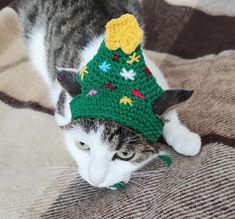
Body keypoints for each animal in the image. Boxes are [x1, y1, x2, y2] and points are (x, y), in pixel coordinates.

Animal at [16, 0, 201, 188]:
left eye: (125, 154)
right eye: (82, 144)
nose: (95, 180)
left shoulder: (155, 74)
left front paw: (183, 137)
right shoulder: (62, 109)